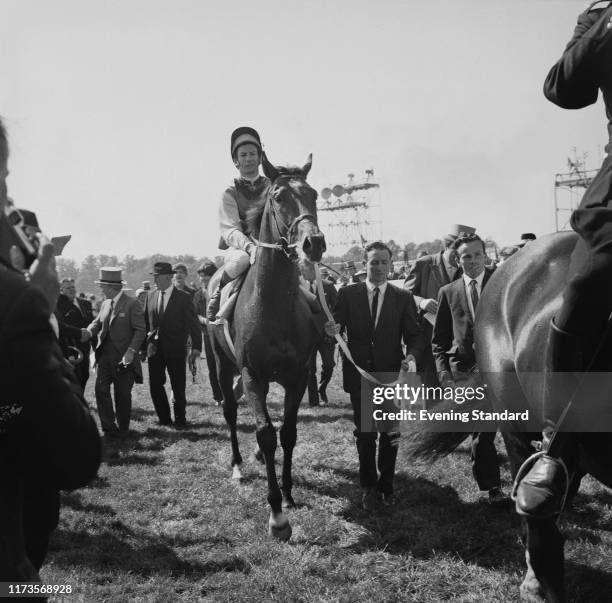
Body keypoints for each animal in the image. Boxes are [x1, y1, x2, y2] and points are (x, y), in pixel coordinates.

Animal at [208, 153, 326, 540]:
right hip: (221, 363)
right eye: (278, 197)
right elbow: (264, 433)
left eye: (314, 194)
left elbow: (287, 433)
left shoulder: (297, 376)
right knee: (230, 410)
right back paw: (238, 465)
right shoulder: (252, 374)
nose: (313, 243)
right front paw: (276, 515)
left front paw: (287, 495)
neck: (272, 305)